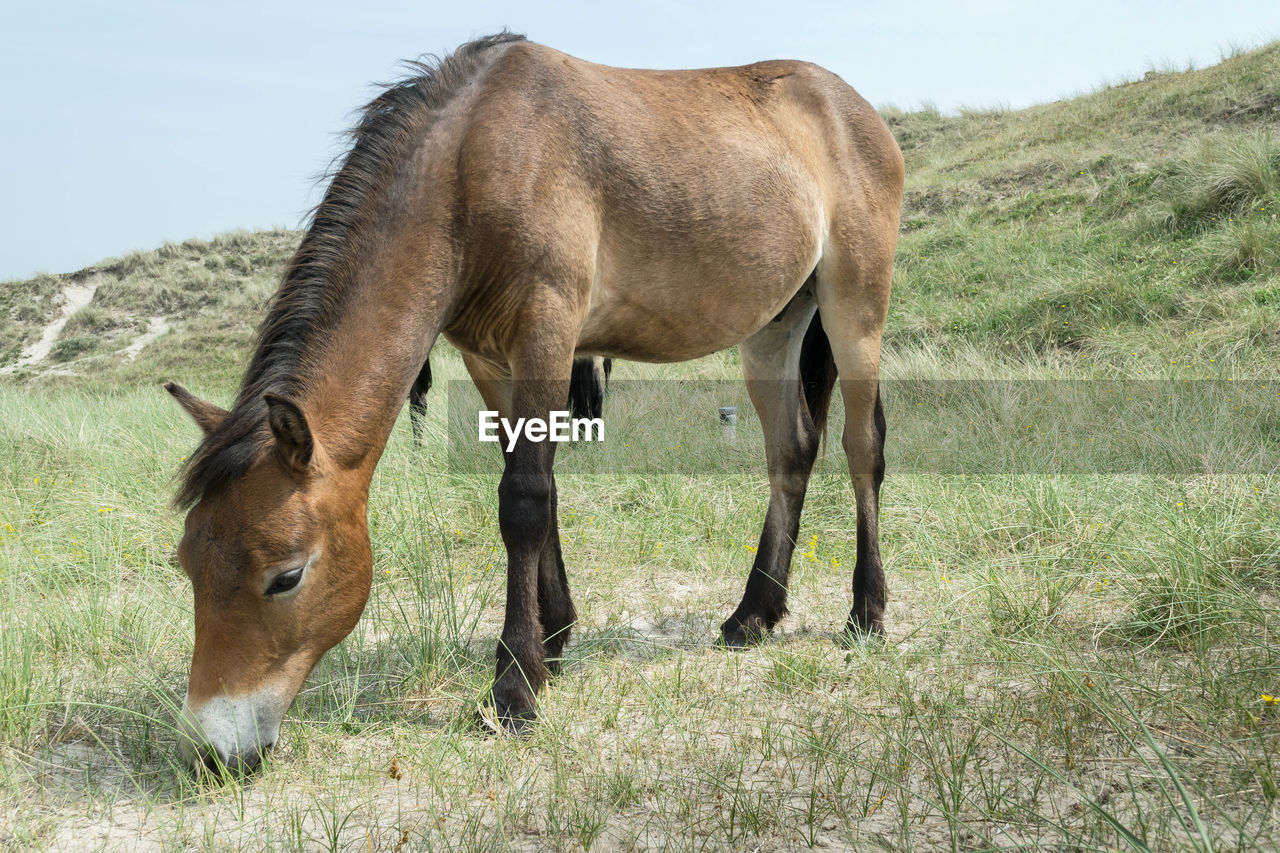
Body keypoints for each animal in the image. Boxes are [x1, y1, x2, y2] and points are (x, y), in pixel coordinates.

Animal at [167, 33, 901, 768]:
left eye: (286, 576)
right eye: (188, 564)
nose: (215, 745)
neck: (474, 160)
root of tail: (856, 109)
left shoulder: (546, 333)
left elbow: (522, 500)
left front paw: (516, 683)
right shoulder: (491, 359)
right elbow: (532, 491)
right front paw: (553, 639)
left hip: (854, 308)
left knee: (862, 448)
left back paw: (865, 611)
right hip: (774, 327)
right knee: (791, 452)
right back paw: (754, 614)